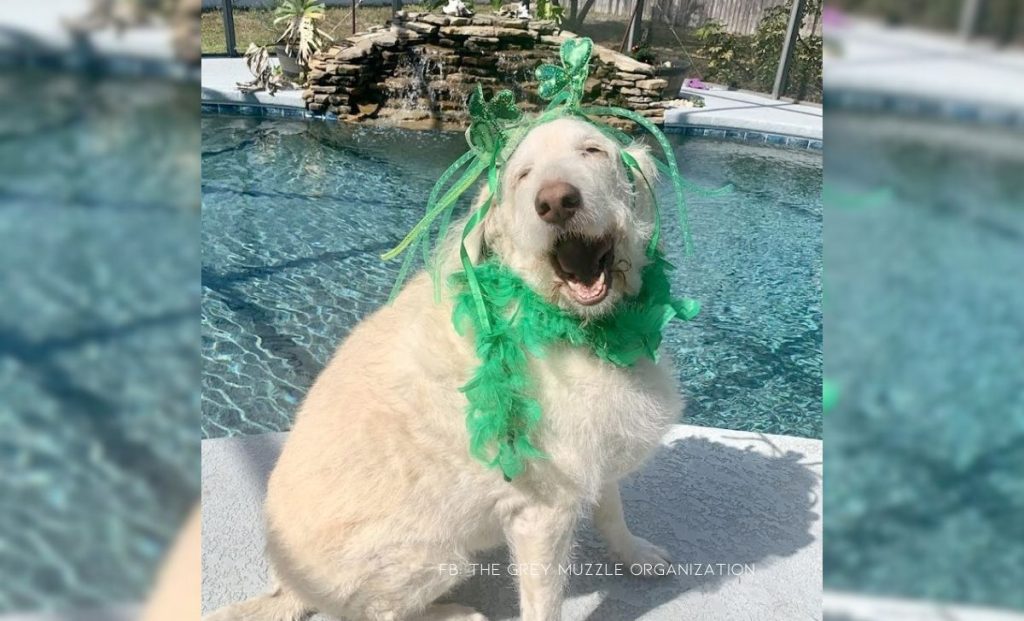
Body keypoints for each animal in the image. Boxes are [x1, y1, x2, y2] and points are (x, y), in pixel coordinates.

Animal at [206, 116, 684, 621]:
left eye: (593, 150)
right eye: (522, 175)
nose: (555, 202)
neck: (579, 327)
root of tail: (289, 586)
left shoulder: (598, 452)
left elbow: (612, 510)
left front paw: (635, 554)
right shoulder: (542, 513)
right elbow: (544, 602)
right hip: (436, 557)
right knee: (375, 614)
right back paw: (455, 613)